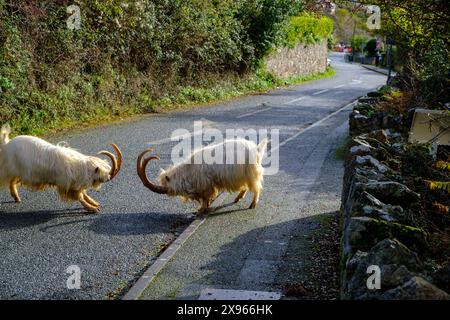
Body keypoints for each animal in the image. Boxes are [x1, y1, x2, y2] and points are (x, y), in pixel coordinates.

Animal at [137, 139, 268, 214]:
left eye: (167, 186)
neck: (188, 170)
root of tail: (257, 149)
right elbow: (206, 199)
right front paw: (204, 208)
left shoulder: (206, 185)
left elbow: (205, 198)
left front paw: (200, 211)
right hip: (243, 175)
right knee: (246, 186)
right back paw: (238, 198)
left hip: (251, 173)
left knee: (257, 188)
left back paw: (252, 205)